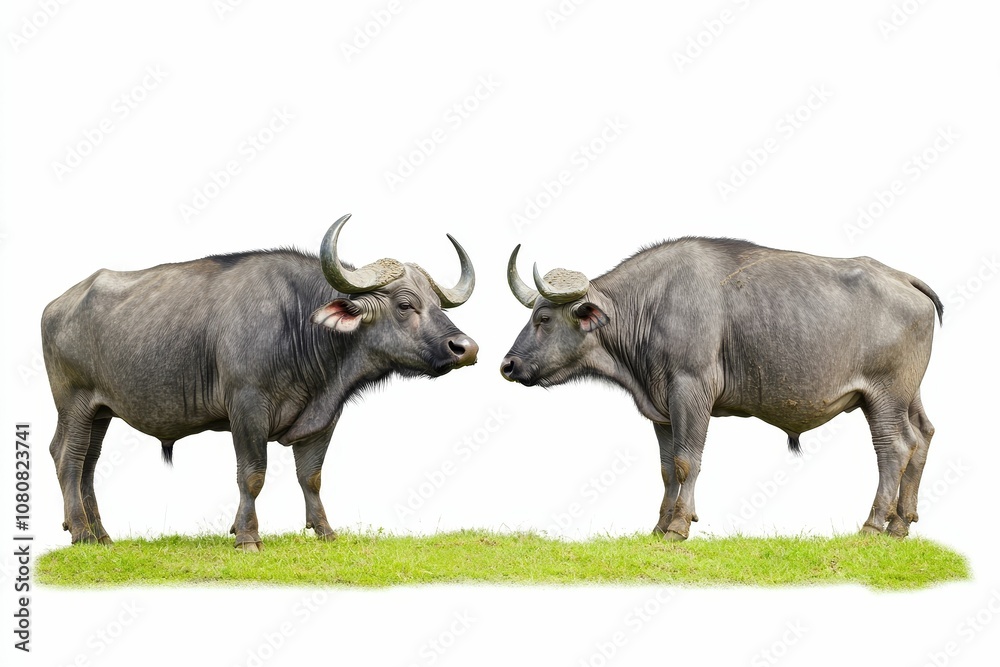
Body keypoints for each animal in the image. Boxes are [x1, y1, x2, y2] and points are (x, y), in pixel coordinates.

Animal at [43, 214, 478, 550]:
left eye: (437, 305)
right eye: (405, 304)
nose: (465, 348)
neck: (299, 323)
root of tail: (56, 305)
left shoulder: (324, 418)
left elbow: (311, 476)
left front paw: (324, 531)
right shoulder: (247, 408)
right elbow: (252, 475)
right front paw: (248, 536)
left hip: (102, 410)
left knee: (89, 463)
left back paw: (101, 535)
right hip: (74, 403)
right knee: (68, 457)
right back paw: (81, 532)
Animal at [501, 237, 942, 540]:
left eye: (543, 317)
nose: (507, 364)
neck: (651, 304)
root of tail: (904, 279)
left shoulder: (691, 391)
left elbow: (687, 461)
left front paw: (679, 525)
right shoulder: (662, 409)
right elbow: (666, 467)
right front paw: (658, 526)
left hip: (884, 397)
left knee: (894, 448)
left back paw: (873, 524)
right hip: (910, 397)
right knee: (922, 437)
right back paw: (901, 523)